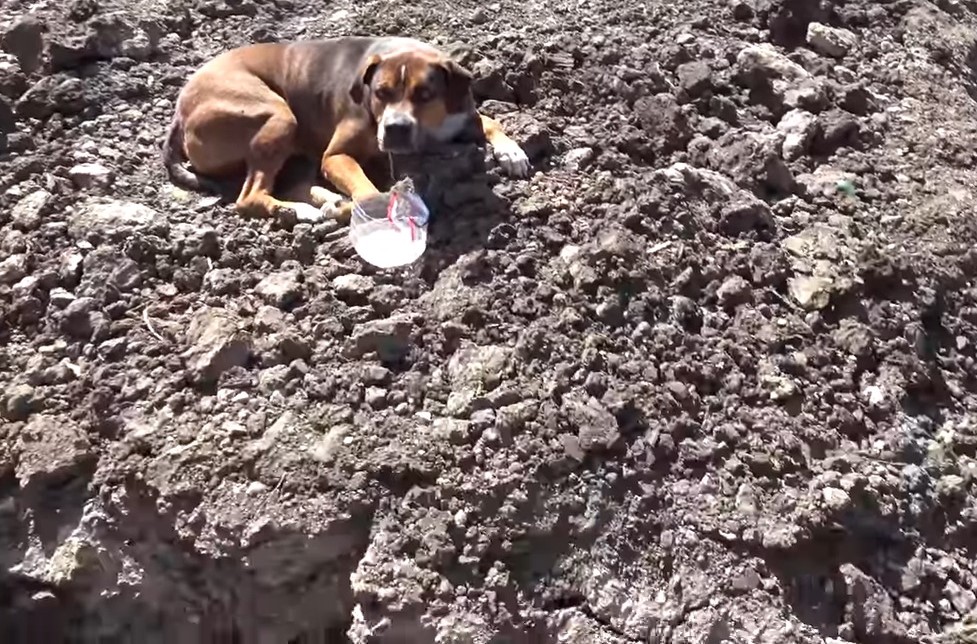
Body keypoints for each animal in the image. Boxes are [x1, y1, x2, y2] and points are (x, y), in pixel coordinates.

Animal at [159, 35, 528, 221]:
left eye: (425, 94)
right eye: (380, 92)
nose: (394, 128)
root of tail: (179, 112)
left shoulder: (463, 114)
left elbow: (491, 120)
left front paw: (512, 152)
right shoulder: (336, 156)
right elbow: (372, 192)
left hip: (295, 146)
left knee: (294, 182)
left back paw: (323, 199)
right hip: (278, 116)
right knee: (249, 197)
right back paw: (304, 210)